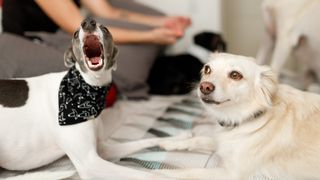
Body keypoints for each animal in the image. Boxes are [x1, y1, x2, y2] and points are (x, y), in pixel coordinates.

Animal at [0, 17, 180, 179]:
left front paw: (177, 140)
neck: (89, 89)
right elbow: (150, 175)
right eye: (75, 33)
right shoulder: (90, 163)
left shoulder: (103, 149)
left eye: (105, 29)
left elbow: (146, 141)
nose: (88, 22)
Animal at [152, 52, 320, 179]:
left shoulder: (231, 174)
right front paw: (170, 143)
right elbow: (200, 139)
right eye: (207, 69)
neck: (244, 119)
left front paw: (157, 174)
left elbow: (187, 171)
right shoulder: (223, 143)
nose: (204, 87)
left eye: (235, 75)